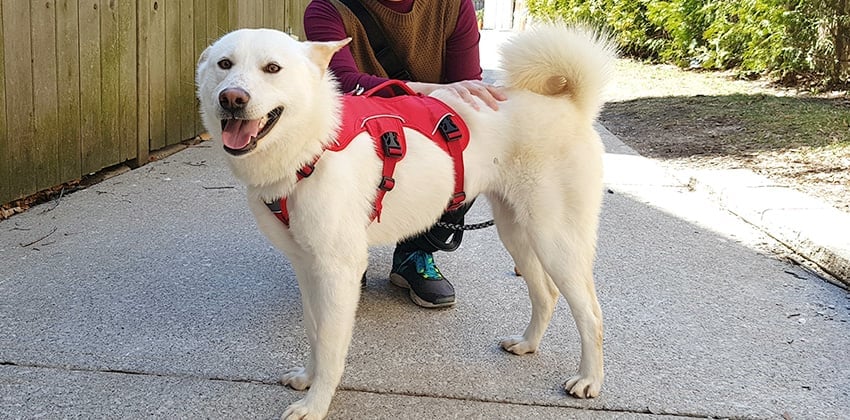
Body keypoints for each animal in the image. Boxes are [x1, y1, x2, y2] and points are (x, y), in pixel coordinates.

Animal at [196, 24, 612, 418]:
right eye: (224, 64)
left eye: (272, 68)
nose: (232, 98)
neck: (315, 142)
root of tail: (571, 106)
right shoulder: (308, 267)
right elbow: (315, 333)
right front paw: (308, 378)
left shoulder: (337, 271)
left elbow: (330, 346)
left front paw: (316, 404)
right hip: (517, 231)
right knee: (546, 294)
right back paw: (527, 344)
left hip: (555, 240)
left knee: (591, 314)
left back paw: (589, 379)